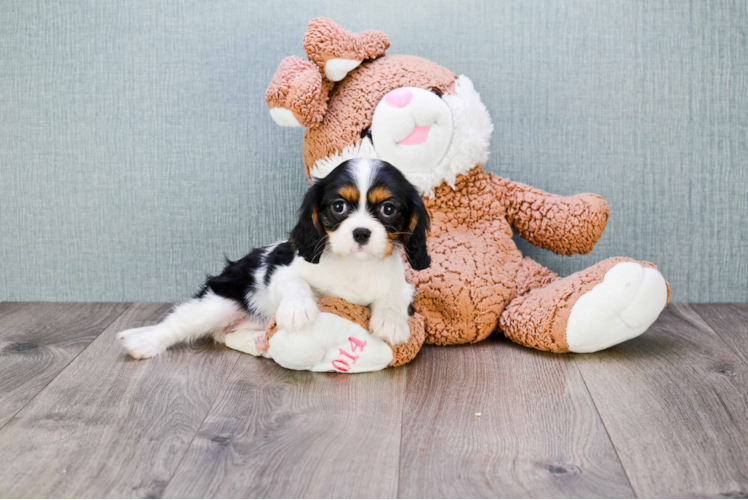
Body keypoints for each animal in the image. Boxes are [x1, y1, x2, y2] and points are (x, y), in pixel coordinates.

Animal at [118, 158, 432, 358]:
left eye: (388, 209)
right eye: (339, 207)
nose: (361, 233)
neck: (354, 264)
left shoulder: (402, 284)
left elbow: (393, 297)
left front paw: (391, 323)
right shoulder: (280, 268)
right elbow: (295, 283)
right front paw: (297, 311)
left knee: (224, 336)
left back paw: (255, 341)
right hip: (219, 303)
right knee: (178, 325)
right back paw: (143, 343)